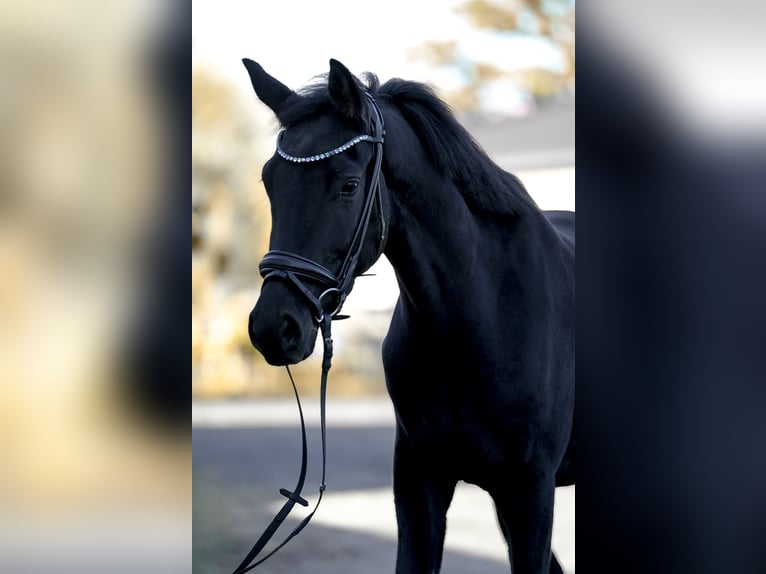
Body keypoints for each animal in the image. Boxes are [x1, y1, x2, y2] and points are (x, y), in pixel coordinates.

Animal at [243, 59, 572, 574]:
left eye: (349, 185)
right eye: (268, 181)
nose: (273, 328)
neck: (480, 323)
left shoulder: (531, 492)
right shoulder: (420, 485)